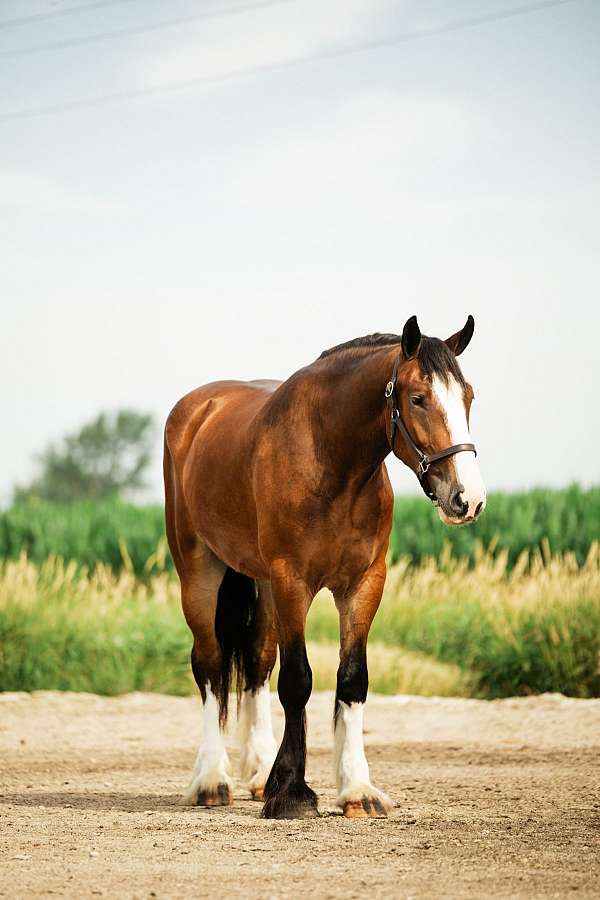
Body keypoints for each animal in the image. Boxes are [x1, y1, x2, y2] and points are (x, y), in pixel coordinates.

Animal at [163, 314, 486, 819]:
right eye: (418, 398)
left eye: (467, 396)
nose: (467, 499)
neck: (334, 466)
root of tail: (197, 410)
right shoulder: (293, 581)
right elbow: (298, 681)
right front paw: (293, 794)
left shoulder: (364, 583)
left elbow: (351, 680)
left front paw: (356, 789)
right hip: (199, 572)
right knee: (211, 665)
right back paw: (210, 780)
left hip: (262, 584)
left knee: (256, 665)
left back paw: (259, 774)